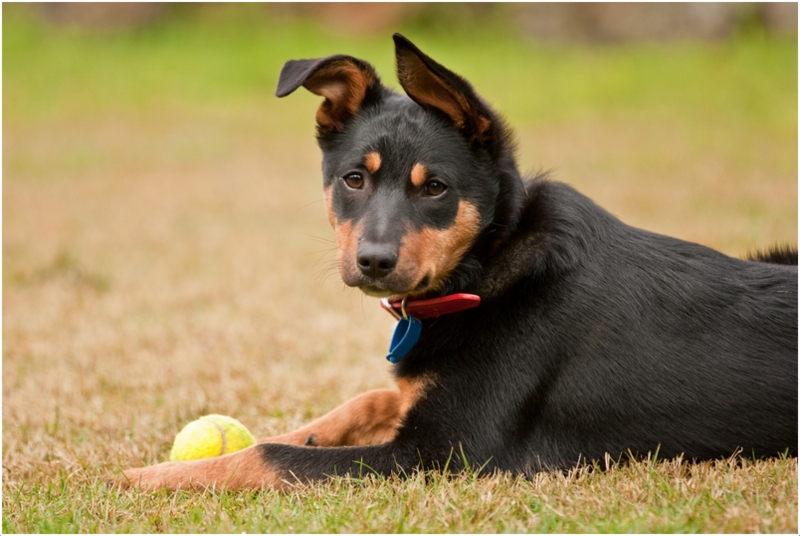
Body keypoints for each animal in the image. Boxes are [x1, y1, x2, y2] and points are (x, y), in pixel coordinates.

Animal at [115, 35, 796, 492]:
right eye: (354, 179)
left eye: (436, 188)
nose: (373, 262)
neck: (485, 267)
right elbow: (358, 403)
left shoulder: (443, 454)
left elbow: (266, 457)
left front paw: (137, 477)